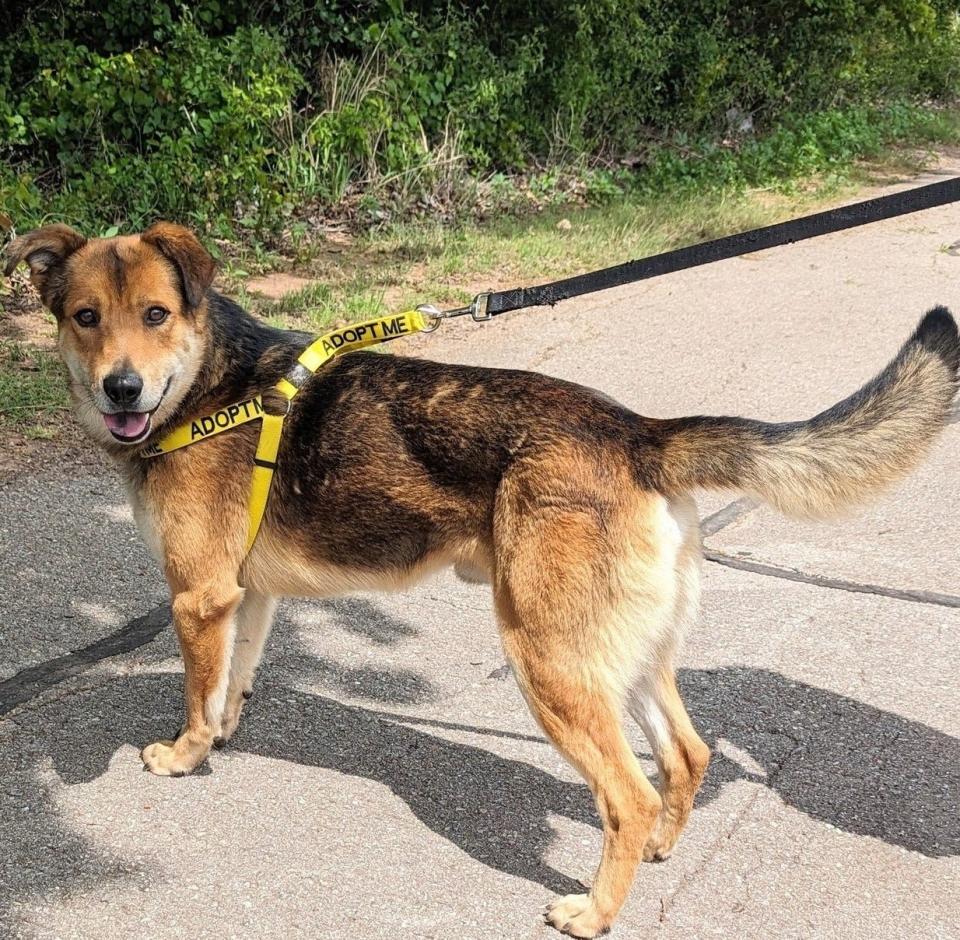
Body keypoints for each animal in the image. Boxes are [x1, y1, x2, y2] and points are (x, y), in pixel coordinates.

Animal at [7, 224, 960, 936]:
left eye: (157, 313)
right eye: (85, 317)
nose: (121, 388)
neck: (211, 384)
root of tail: (639, 433)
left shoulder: (199, 598)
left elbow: (197, 694)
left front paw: (184, 755)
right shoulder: (248, 596)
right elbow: (231, 682)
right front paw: (224, 733)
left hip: (547, 661)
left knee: (628, 793)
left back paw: (595, 911)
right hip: (622, 655)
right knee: (684, 756)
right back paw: (660, 851)